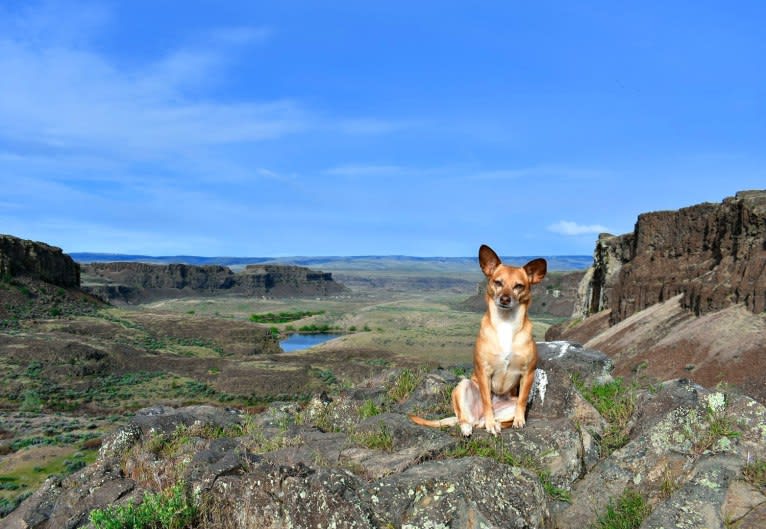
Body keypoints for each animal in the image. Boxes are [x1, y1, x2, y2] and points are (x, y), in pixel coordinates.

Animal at [412, 245, 548, 436]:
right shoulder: (484, 372)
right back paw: (471, 427)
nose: (505, 299)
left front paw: (519, 420)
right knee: (466, 419)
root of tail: (476, 417)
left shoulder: (528, 373)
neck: (506, 324)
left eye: (519, 286)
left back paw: (494, 423)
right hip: (463, 386)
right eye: (498, 282)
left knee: (484, 422)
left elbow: (522, 400)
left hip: (508, 405)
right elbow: (486, 401)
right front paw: (491, 421)